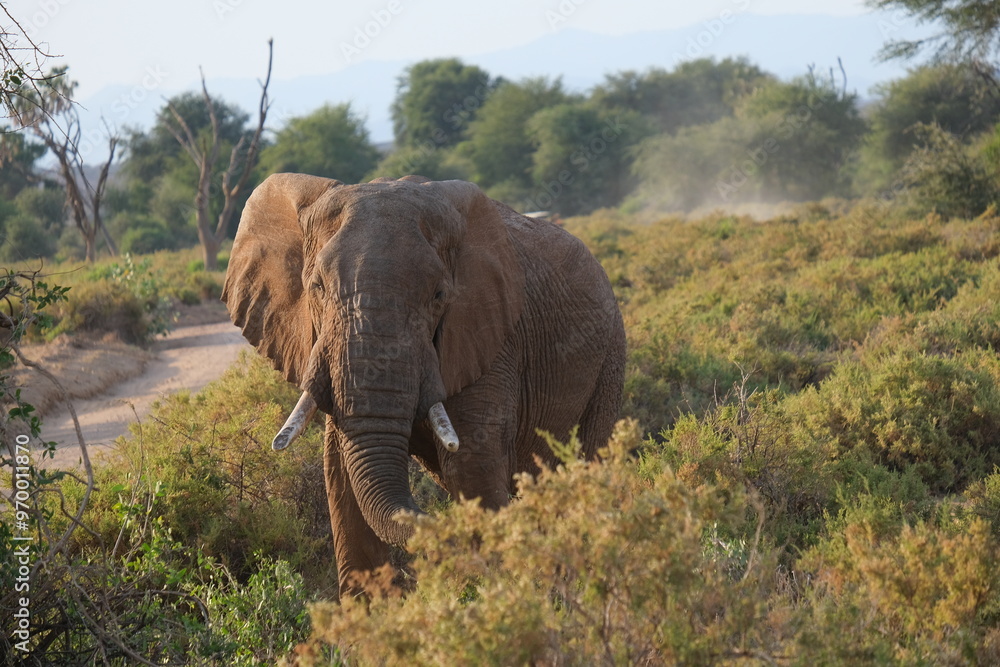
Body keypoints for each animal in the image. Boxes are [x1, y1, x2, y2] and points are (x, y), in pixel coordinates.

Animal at [222, 173, 625, 598]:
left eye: (439, 295)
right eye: (317, 287)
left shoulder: (489, 338)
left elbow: (472, 466)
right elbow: (341, 471)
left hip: (610, 358)